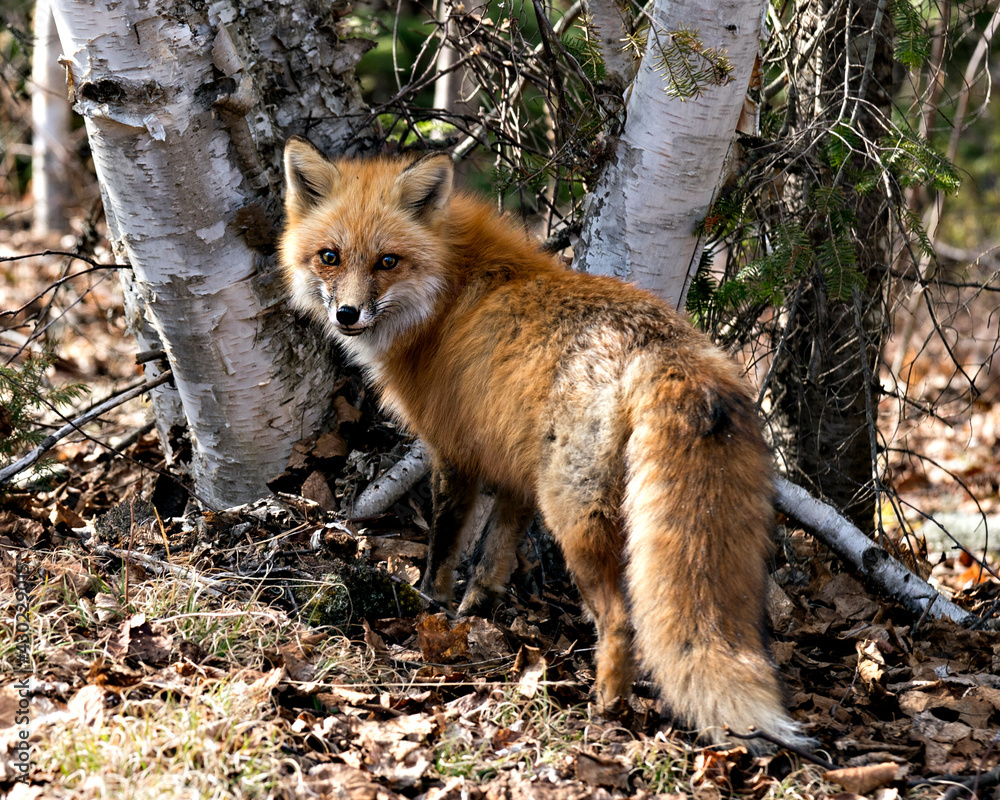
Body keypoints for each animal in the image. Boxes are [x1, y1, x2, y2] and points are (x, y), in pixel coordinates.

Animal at [277, 136, 809, 751]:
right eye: (329, 256)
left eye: (387, 261)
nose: (347, 314)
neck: (445, 293)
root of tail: (665, 348)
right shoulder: (514, 460)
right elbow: (496, 551)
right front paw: (478, 608)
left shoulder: (454, 449)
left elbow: (445, 542)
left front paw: (432, 604)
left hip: (573, 514)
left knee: (621, 620)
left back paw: (607, 709)